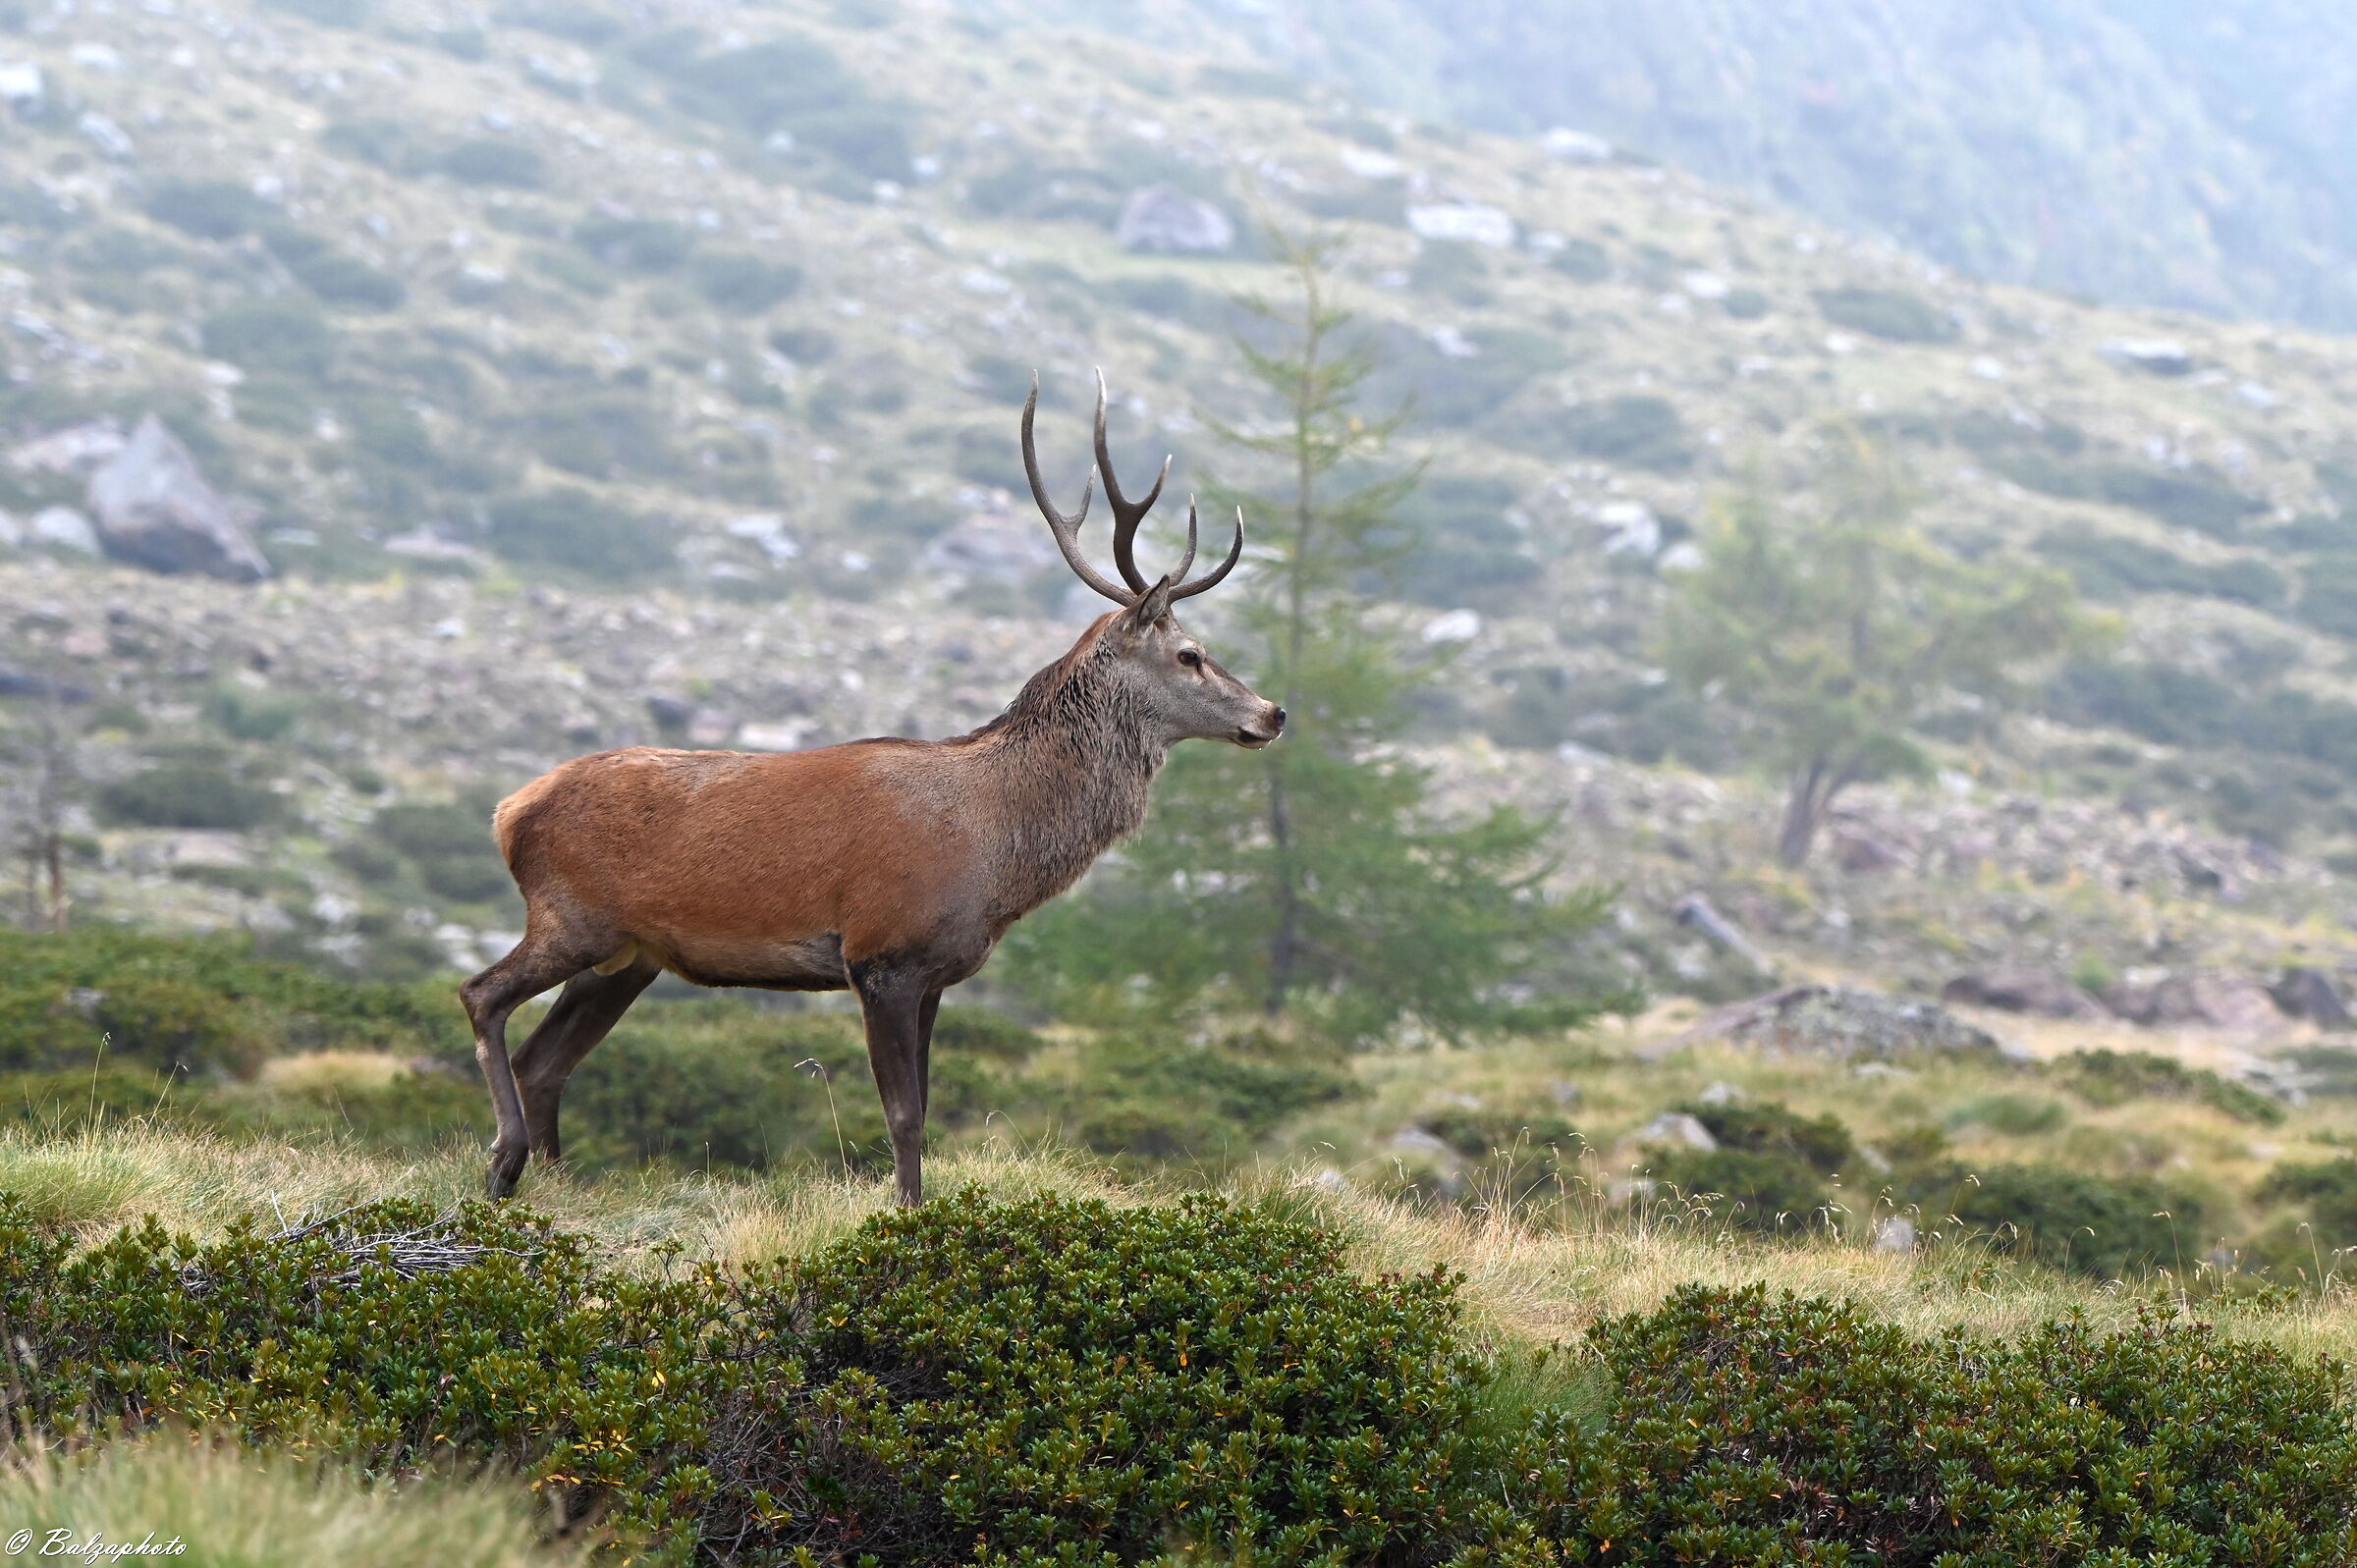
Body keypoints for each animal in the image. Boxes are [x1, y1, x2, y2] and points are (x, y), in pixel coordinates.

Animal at [461, 372, 1284, 1205]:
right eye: (1190, 654)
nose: (1272, 712)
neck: (997, 848)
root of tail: (508, 811)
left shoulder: (936, 973)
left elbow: (923, 1105)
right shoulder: (881, 952)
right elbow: (904, 1115)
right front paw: (906, 1213)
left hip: (628, 955)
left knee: (545, 1058)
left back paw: (552, 1183)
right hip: (572, 915)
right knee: (482, 995)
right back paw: (504, 1158)